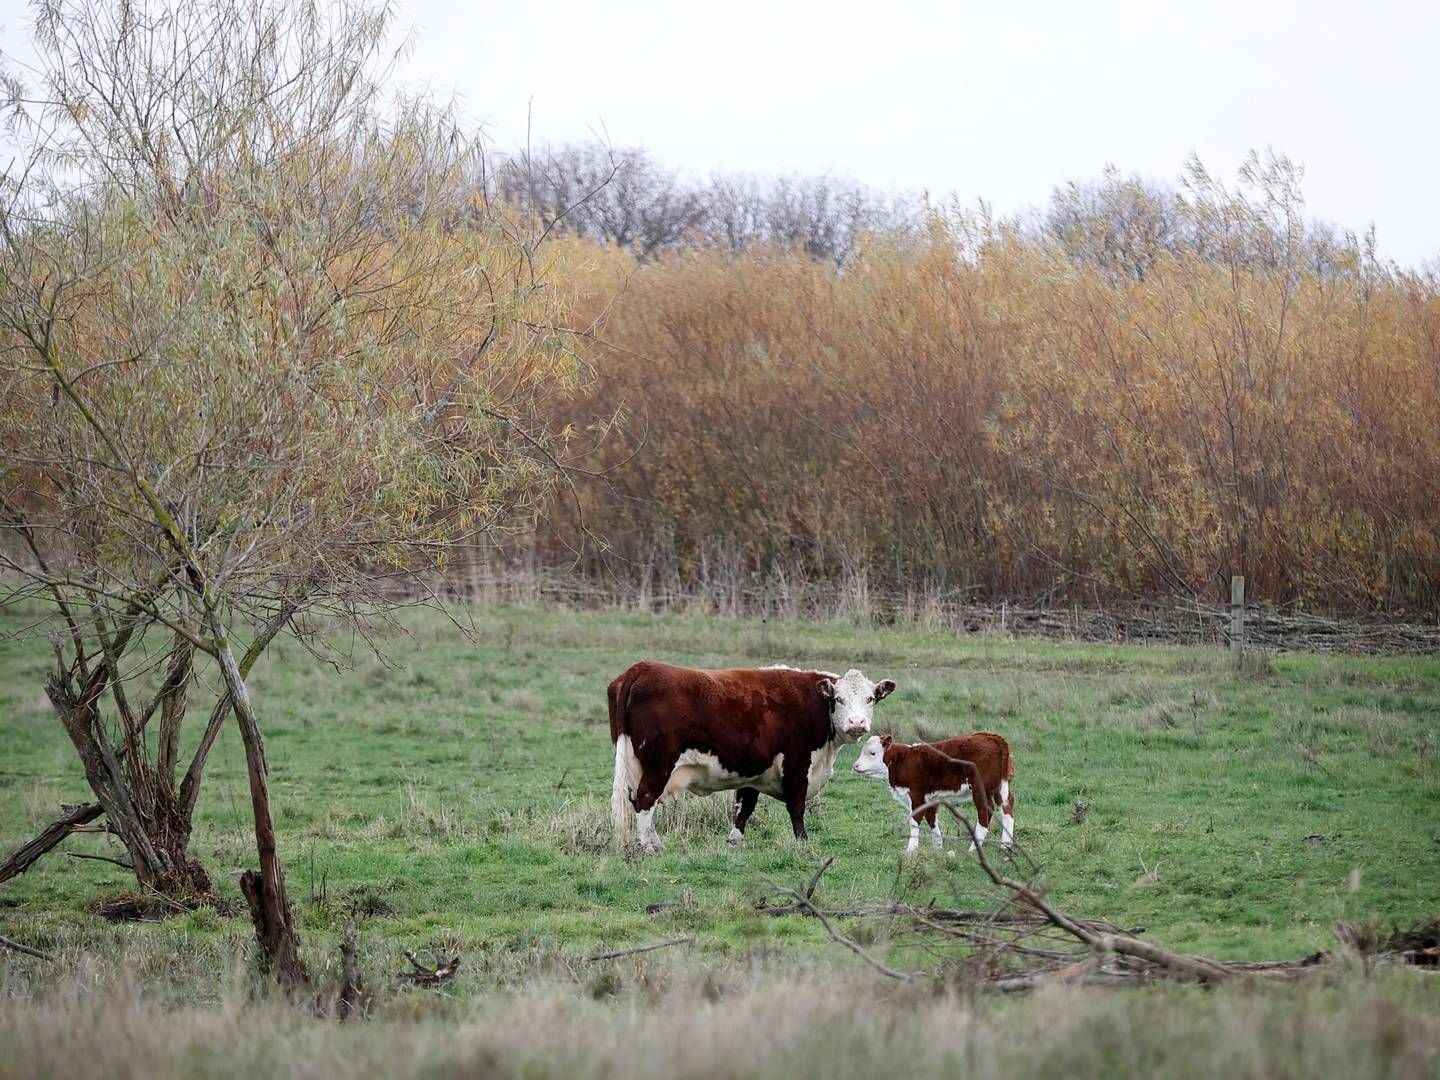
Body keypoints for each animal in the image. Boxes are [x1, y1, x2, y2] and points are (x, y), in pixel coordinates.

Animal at [607, 659, 898, 852]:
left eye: (871, 699)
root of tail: (642, 667)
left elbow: (743, 806)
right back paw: (649, 847)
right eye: (838, 699)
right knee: (645, 800)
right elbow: (796, 806)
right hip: (659, 763)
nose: (857, 722)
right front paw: (803, 842)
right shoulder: (797, 764)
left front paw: (735, 841)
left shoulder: (753, 770)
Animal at [846, 737, 1019, 852]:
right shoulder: (931, 797)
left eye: (872, 753)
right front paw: (938, 847)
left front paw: (911, 850)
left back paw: (973, 849)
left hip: (979, 788)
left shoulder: (916, 794)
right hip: (1001, 787)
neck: (902, 760)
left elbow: (915, 820)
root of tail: (994, 738)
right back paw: (1006, 846)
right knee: (1007, 809)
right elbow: (932, 819)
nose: (855, 765)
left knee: (985, 812)